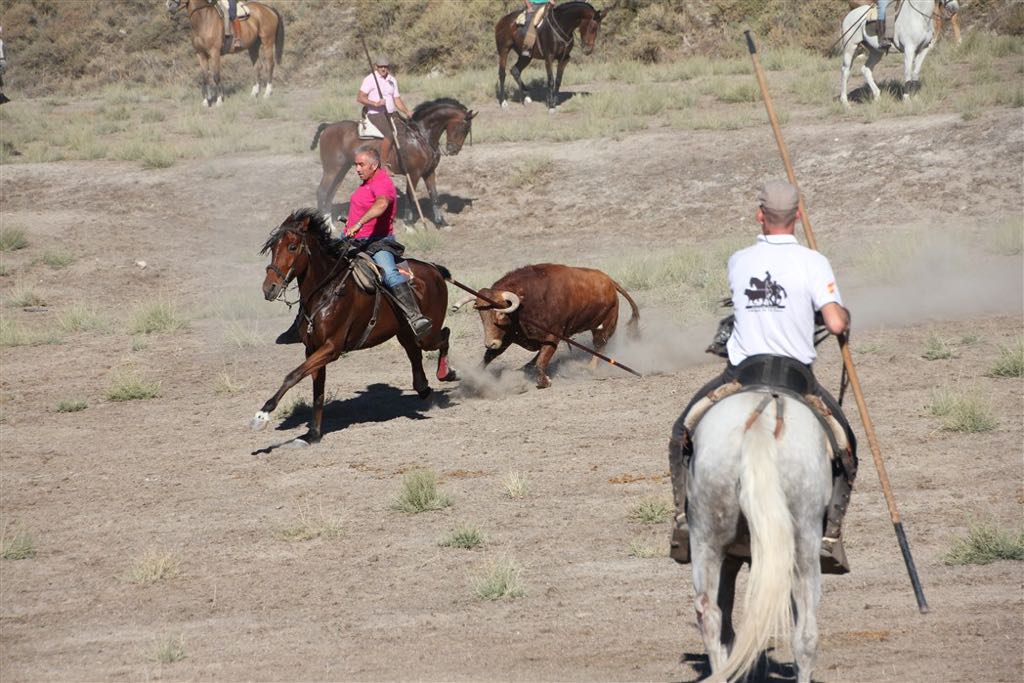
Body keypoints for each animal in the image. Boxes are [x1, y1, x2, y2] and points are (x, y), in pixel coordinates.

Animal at [251, 208, 456, 446]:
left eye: (292, 247)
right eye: (273, 248)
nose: (269, 288)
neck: (327, 291)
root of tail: (434, 269)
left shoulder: (332, 348)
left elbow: (293, 375)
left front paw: (262, 415)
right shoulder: (312, 349)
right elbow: (317, 390)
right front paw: (313, 434)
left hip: (426, 333)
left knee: (444, 336)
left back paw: (446, 373)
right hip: (405, 333)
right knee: (415, 353)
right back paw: (424, 390)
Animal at [456, 264, 638, 387]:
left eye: (501, 313)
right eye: (481, 315)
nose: (490, 343)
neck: (526, 303)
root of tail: (609, 281)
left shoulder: (553, 335)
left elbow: (542, 361)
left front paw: (545, 381)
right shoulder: (508, 336)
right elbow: (489, 356)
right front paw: (474, 379)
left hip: (603, 326)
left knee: (600, 346)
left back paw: (590, 368)